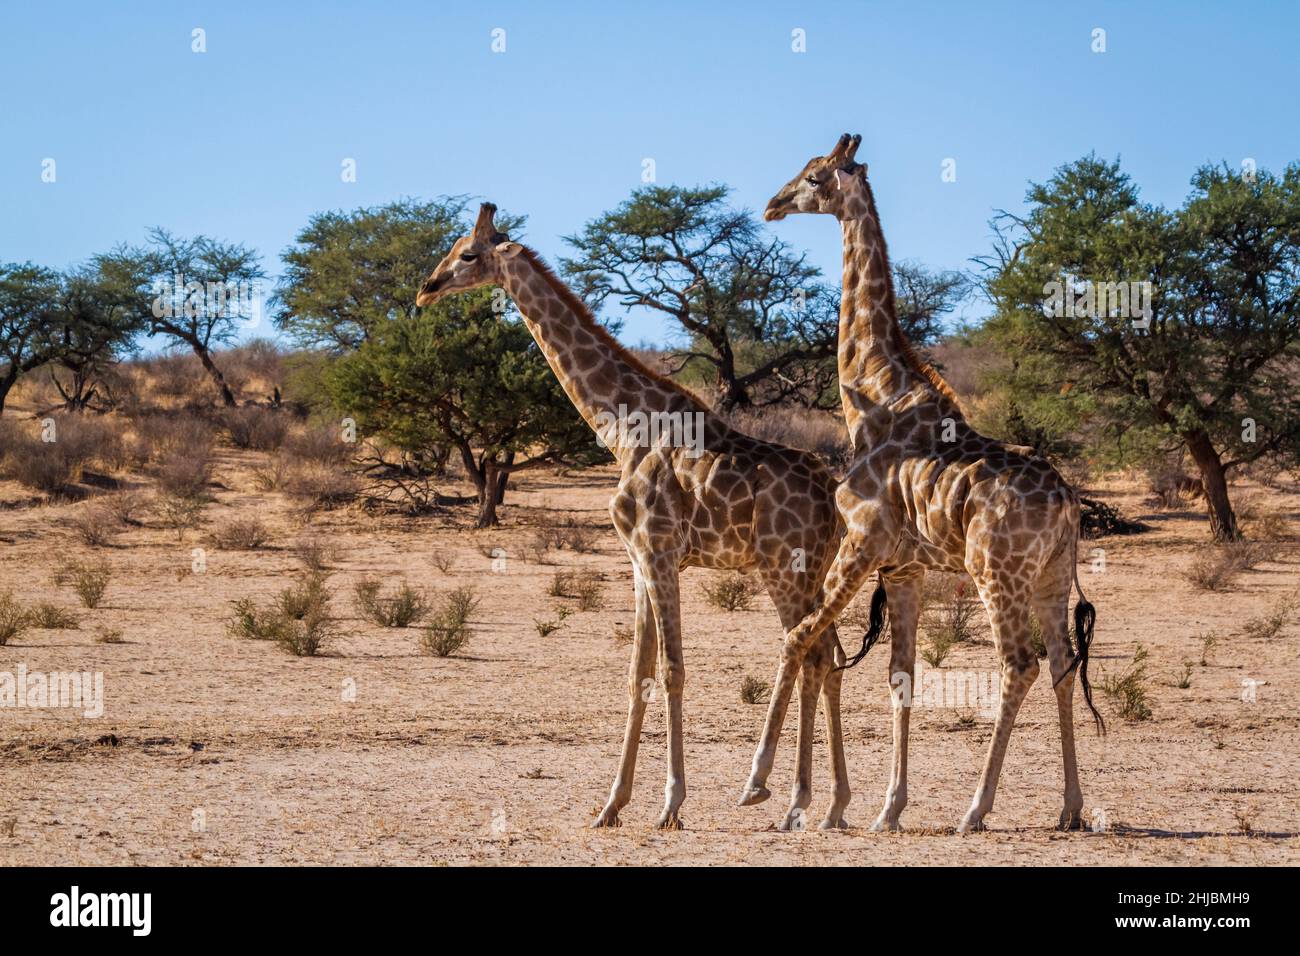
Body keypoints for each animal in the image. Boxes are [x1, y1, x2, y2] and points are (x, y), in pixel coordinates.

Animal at [416, 201, 857, 832]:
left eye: (468, 254)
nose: (426, 289)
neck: (624, 429)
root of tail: (830, 493)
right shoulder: (636, 560)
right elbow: (637, 672)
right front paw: (611, 804)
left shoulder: (659, 551)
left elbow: (672, 669)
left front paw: (671, 803)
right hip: (814, 570)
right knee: (832, 658)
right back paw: (832, 806)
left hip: (784, 569)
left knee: (811, 652)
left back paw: (782, 793)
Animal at [748, 136, 1102, 837]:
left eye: (813, 176)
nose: (773, 204)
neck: (873, 399)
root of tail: (1069, 503)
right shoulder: (903, 568)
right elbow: (899, 675)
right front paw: (888, 808)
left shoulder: (860, 543)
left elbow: (799, 637)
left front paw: (759, 783)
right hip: (1050, 576)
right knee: (1061, 663)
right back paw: (1071, 806)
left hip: (996, 571)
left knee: (1018, 663)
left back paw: (976, 809)